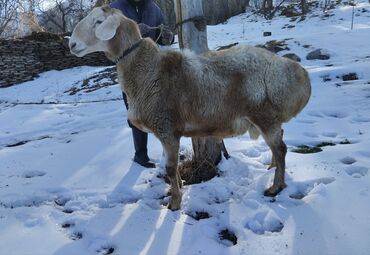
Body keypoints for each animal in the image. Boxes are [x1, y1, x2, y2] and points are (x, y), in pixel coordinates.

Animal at [68, 5, 310, 210]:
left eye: (98, 22)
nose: (71, 45)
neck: (147, 70)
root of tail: (294, 70)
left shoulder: (166, 127)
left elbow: (169, 167)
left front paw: (174, 203)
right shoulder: (167, 131)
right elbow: (172, 167)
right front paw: (178, 189)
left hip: (264, 115)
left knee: (281, 149)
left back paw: (275, 187)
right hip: (267, 118)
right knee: (279, 145)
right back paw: (272, 169)